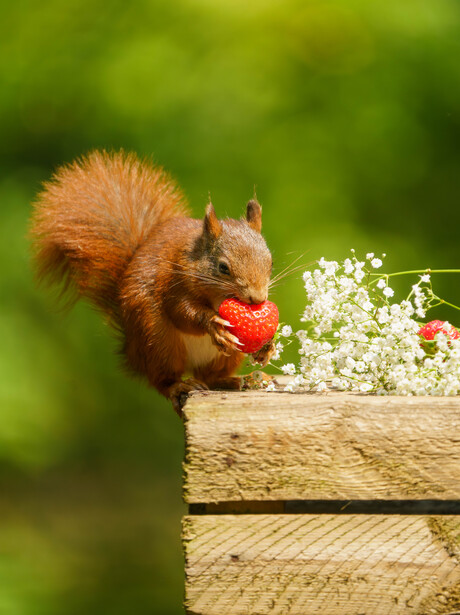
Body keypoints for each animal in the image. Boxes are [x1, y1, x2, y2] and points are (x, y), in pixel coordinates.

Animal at [31, 152, 276, 416]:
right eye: (223, 268)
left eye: (271, 263)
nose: (257, 299)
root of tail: (131, 349)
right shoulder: (173, 284)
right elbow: (182, 312)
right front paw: (214, 323)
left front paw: (267, 347)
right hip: (158, 341)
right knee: (163, 380)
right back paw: (181, 386)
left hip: (222, 356)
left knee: (210, 377)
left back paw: (240, 380)